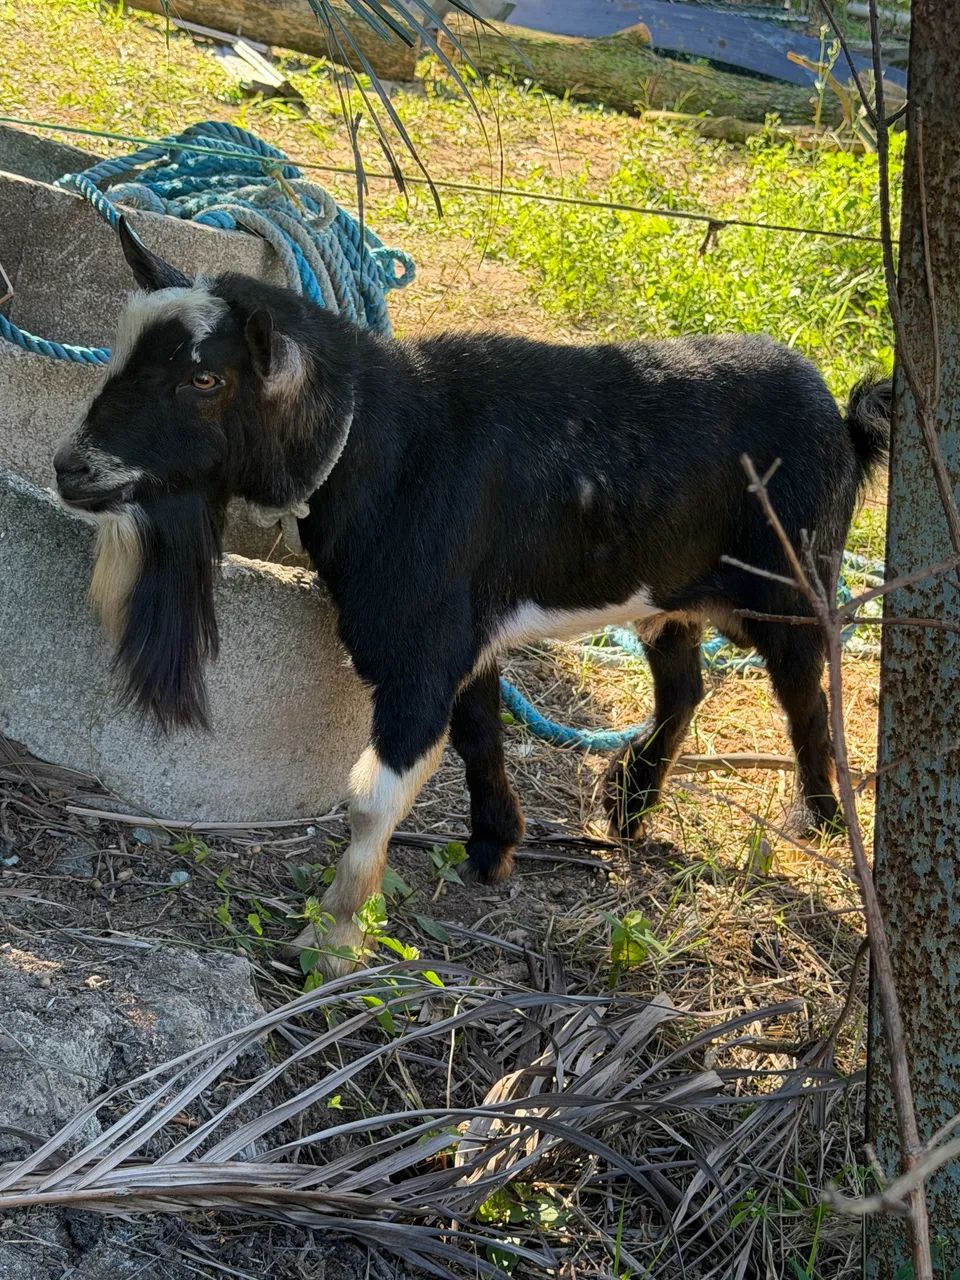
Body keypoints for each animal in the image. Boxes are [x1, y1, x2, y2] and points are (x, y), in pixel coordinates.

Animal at [54, 218, 889, 972]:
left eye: (204, 379)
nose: (72, 467)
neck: (384, 444)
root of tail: (841, 416)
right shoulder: (466, 629)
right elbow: (480, 733)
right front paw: (493, 848)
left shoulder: (421, 647)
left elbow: (373, 796)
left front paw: (332, 938)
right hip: (668, 593)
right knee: (685, 686)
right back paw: (629, 806)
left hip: (797, 578)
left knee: (807, 693)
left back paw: (813, 822)